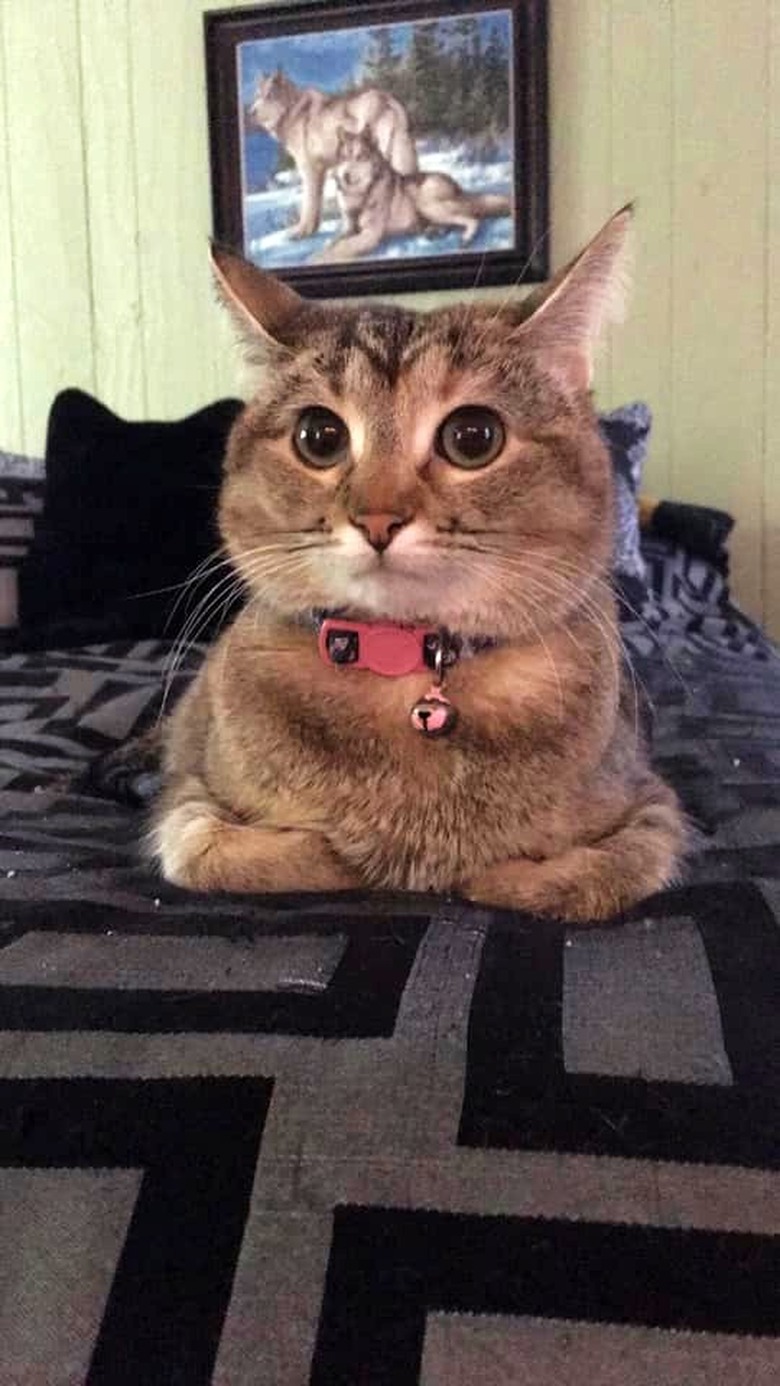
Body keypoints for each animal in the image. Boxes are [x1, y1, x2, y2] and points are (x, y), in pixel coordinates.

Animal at [149, 207, 687, 920]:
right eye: (319, 436)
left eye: (473, 436)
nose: (378, 520)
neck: (405, 669)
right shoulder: (189, 797)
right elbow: (223, 853)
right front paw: (336, 856)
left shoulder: (652, 809)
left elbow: (575, 881)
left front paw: (491, 874)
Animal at [253, 72, 418, 241]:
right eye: (258, 95)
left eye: (269, 95)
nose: (251, 112)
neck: (293, 110)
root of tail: (388, 100)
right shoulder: (323, 170)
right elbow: (317, 204)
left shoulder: (310, 170)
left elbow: (309, 203)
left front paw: (302, 232)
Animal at [314, 128, 515, 263]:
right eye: (344, 158)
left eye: (360, 157)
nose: (345, 176)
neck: (359, 195)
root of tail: (457, 186)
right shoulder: (347, 230)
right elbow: (332, 244)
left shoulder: (370, 235)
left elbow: (338, 249)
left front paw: (319, 259)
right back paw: (434, 231)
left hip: (427, 204)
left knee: (472, 218)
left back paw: (466, 239)